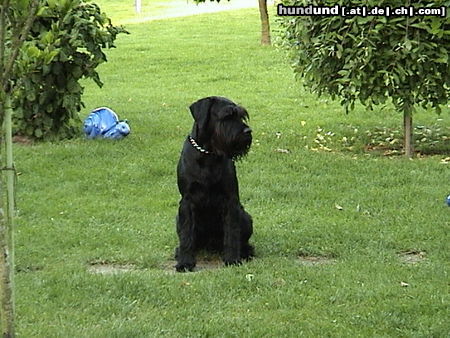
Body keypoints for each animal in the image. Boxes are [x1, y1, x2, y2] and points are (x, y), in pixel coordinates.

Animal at [175, 96, 253, 270]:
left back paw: (246, 251)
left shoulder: (231, 201)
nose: (247, 131)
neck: (208, 153)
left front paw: (232, 259)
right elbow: (186, 233)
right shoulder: (187, 201)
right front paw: (185, 262)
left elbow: (232, 232)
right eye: (226, 116)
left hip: (245, 217)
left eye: (241, 115)